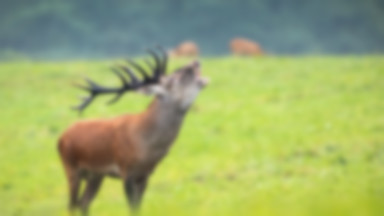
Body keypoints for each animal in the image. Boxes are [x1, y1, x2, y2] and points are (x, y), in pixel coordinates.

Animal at [57, 48, 208, 215]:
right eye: (176, 76)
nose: (195, 62)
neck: (145, 146)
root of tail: (62, 137)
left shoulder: (145, 174)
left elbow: (138, 207)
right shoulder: (126, 170)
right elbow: (132, 208)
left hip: (96, 175)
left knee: (83, 203)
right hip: (71, 167)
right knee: (72, 205)